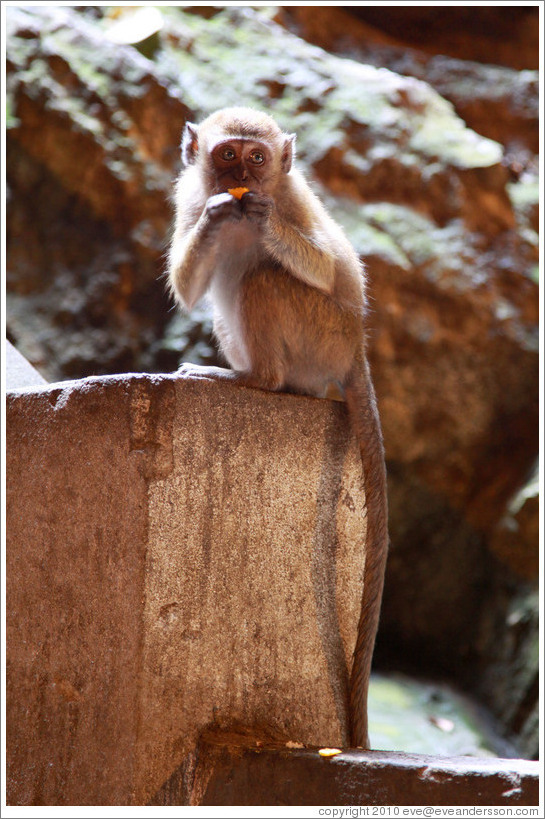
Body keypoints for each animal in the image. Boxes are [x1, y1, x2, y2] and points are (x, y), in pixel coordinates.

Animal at [166, 107, 386, 748]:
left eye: (256, 159)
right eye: (227, 156)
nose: (242, 183)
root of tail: (353, 350)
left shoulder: (293, 198)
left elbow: (331, 267)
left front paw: (260, 221)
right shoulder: (190, 195)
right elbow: (188, 287)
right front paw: (219, 215)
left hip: (323, 332)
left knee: (265, 277)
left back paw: (254, 381)